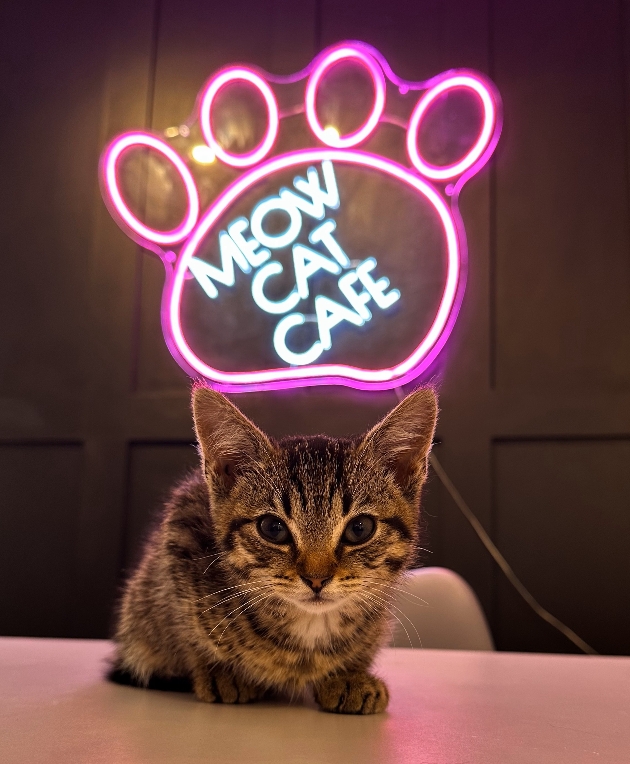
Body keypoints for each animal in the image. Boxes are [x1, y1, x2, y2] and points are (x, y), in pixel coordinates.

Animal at [111, 384, 440, 712]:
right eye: (272, 528)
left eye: (360, 529)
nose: (316, 579)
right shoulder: (178, 537)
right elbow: (184, 632)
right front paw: (220, 672)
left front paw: (350, 676)